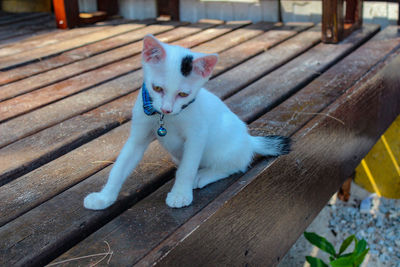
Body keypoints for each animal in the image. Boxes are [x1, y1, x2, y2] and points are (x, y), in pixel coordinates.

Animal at [85, 34, 290, 209]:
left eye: (183, 94)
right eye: (157, 88)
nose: (167, 108)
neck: (165, 118)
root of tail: (249, 140)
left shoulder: (197, 135)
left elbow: (188, 168)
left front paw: (180, 194)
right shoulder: (138, 136)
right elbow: (119, 167)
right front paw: (104, 197)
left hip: (225, 146)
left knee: (235, 165)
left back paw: (204, 175)